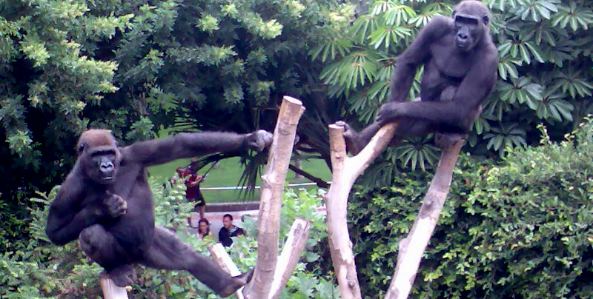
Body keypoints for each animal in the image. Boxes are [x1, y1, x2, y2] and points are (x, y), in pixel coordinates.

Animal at [45, 129, 272, 298]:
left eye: (109, 153)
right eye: (96, 155)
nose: (107, 165)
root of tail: (135, 261)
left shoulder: (131, 154)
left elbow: (179, 145)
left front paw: (250, 140)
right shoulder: (70, 187)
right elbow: (54, 232)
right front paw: (104, 208)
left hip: (147, 249)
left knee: (183, 256)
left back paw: (228, 285)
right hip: (127, 256)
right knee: (90, 234)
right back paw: (116, 270)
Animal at [340, 0, 498, 154]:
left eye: (472, 23)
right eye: (461, 20)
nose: (462, 35)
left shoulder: (489, 58)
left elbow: (459, 106)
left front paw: (394, 110)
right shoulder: (436, 26)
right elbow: (409, 62)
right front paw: (390, 113)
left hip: (462, 125)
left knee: (450, 98)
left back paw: (451, 133)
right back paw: (357, 141)